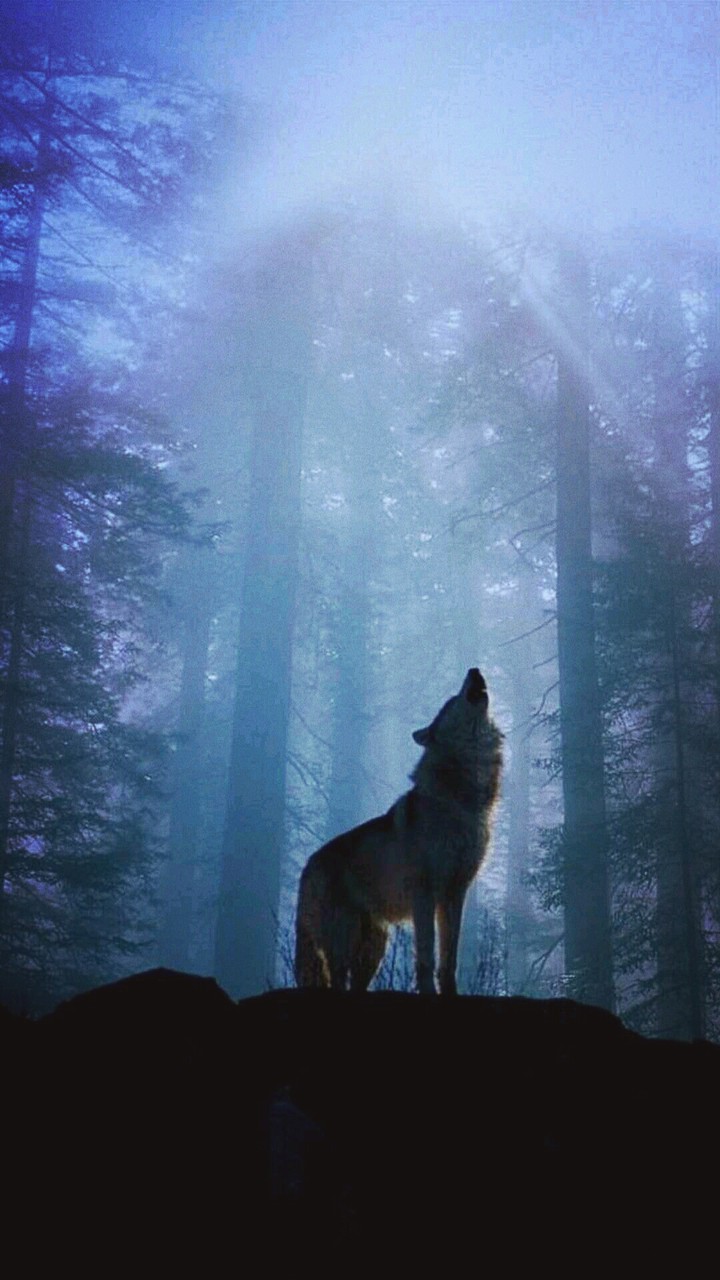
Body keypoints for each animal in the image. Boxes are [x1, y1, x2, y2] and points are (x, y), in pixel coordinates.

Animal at [295, 668, 503, 995]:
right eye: (451, 700)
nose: (474, 670)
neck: (461, 799)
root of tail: (307, 865)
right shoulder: (424, 894)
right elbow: (427, 956)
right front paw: (428, 992)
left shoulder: (455, 892)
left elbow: (449, 958)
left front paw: (451, 993)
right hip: (343, 942)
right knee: (337, 981)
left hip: (374, 948)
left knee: (355, 985)